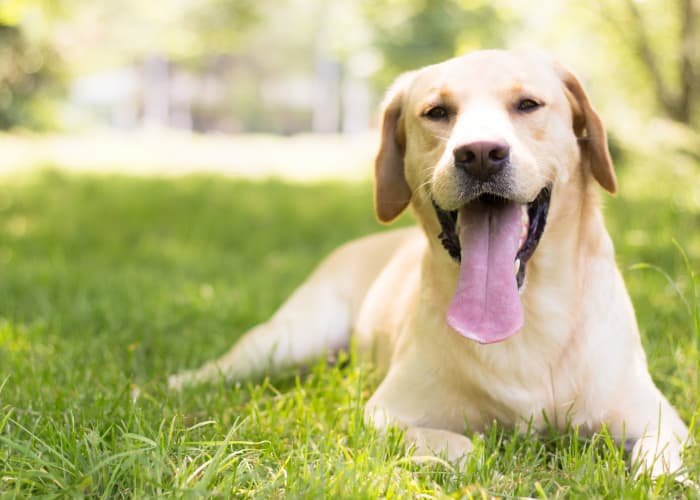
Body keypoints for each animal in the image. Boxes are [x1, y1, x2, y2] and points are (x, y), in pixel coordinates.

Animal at [171, 48, 688, 478]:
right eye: (437, 112)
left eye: (527, 105)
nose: (480, 154)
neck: (527, 319)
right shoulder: (384, 412)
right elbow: (464, 447)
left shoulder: (659, 419)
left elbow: (661, 467)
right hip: (290, 338)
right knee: (226, 366)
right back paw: (176, 383)